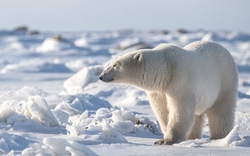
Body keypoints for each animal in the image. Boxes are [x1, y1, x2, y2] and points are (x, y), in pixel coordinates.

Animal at [99, 40, 238, 145]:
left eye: (115, 65)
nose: (101, 76)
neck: (167, 68)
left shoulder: (180, 78)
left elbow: (180, 108)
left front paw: (167, 140)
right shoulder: (159, 90)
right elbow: (163, 110)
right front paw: (165, 136)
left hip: (225, 80)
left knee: (221, 110)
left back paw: (219, 137)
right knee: (196, 116)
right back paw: (192, 137)